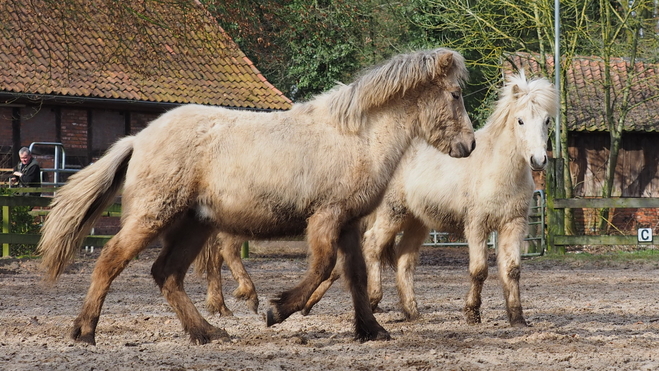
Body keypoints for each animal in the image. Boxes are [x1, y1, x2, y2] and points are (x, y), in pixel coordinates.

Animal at [37, 47, 474, 346]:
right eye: (455, 95)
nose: (469, 145)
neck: (358, 136)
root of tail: (138, 138)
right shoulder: (326, 217)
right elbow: (323, 267)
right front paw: (276, 310)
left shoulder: (349, 222)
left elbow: (355, 275)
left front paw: (371, 329)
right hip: (154, 216)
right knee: (111, 260)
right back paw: (85, 330)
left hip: (193, 226)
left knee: (167, 274)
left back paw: (208, 331)